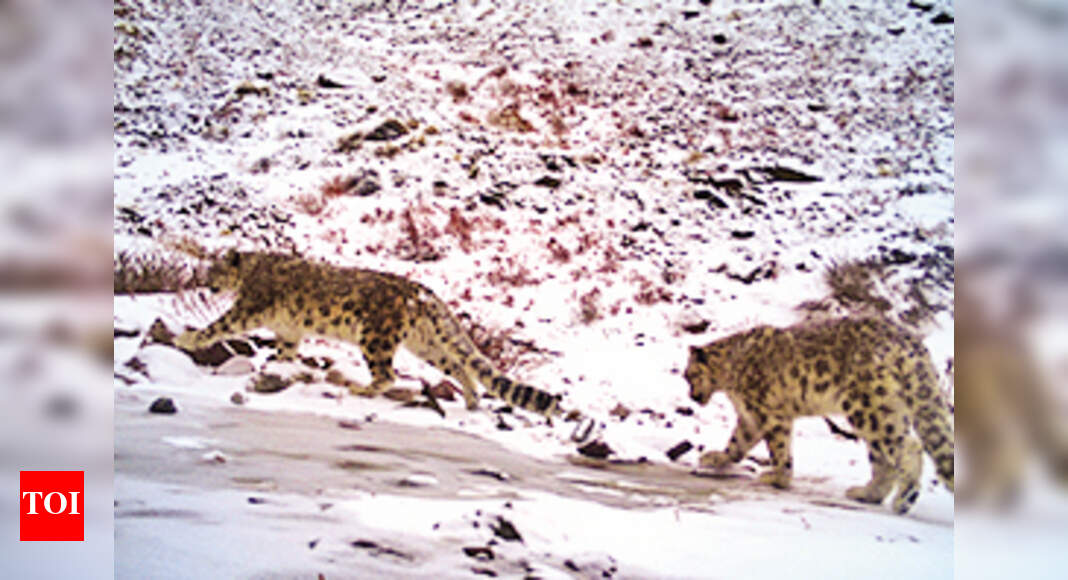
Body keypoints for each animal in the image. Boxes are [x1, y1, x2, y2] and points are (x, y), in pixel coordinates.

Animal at [174, 250, 589, 429]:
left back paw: (361, 388)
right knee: (458, 365)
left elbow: (219, 325)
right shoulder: (288, 330)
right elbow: (286, 351)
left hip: (375, 336)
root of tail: (421, 292)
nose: (206, 284)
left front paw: (187, 339)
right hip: (426, 342)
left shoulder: (248, 308)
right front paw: (279, 367)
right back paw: (471, 399)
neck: (251, 272)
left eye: (213, 269)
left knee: (387, 375)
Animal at [684, 316, 954, 514]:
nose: (691, 396)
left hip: (869, 407)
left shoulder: (769, 411)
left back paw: (904, 499)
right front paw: (716, 457)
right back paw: (866, 494)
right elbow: (737, 442)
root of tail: (911, 344)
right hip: (887, 409)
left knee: (908, 446)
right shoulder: (750, 416)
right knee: (882, 458)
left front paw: (777, 478)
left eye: (688, 375)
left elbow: (779, 448)